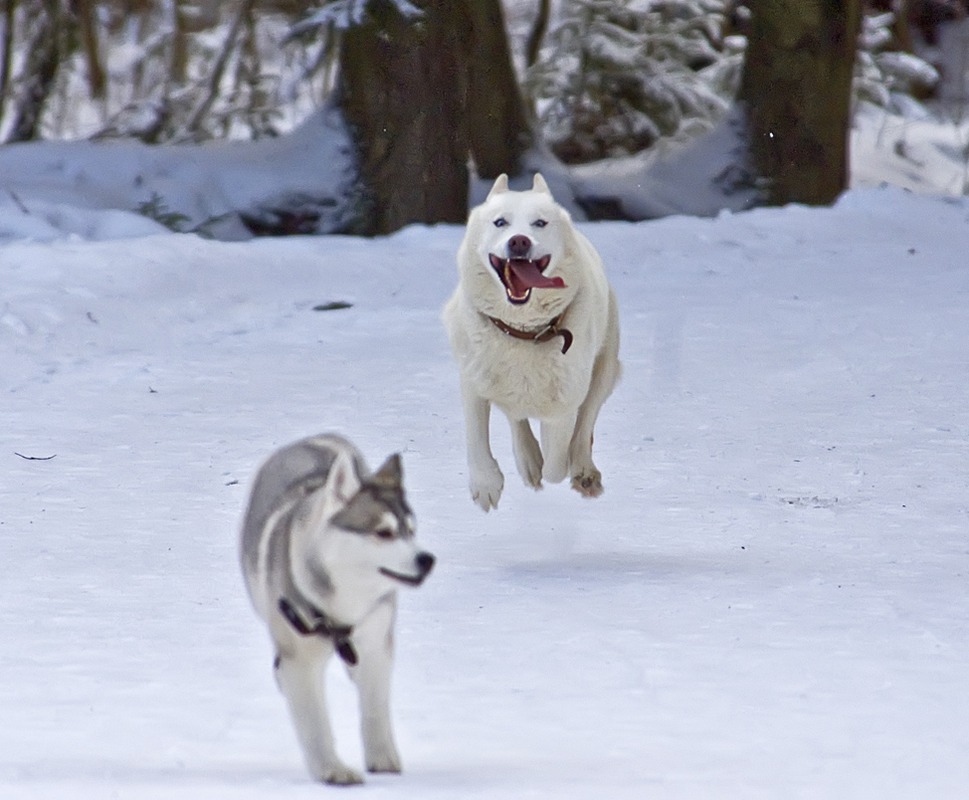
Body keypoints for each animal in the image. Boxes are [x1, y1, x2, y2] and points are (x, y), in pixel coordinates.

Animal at [240, 434, 436, 784]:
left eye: (412, 530)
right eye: (384, 532)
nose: (427, 560)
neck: (344, 603)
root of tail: (313, 438)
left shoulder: (375, 643)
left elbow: (374, 706)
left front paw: (382, 759)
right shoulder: (299, 659)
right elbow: (313, 720)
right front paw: (332, 770)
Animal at [444, 175, 620, 512]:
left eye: (540, 223)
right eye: (500, 222)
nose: (519, 241)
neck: (524, 332)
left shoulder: (567, 396)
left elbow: (557, 460)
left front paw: (560, 467)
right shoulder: (472, 380)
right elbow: (477, 436)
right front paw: (486, 485)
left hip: (605, 370)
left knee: (584, 427)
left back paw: (582, 472)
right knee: (517, 418)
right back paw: (529, 461)